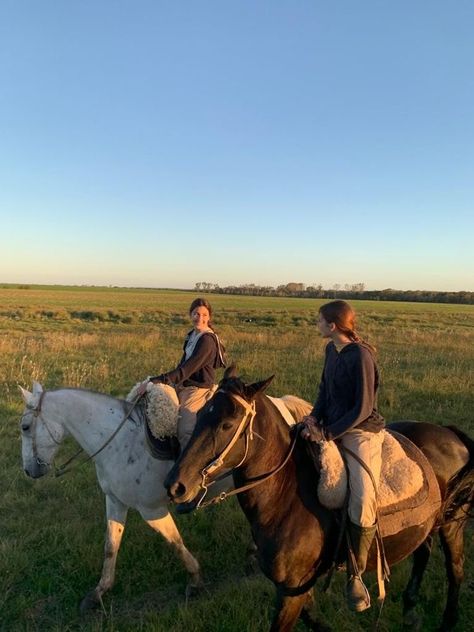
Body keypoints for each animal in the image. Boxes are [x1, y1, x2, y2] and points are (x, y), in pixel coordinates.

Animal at [19, 380, 202, 612]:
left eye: (25, 427)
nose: (28, 471)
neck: (123, 443)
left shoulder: (152, 510)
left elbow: (175, 542)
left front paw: (194, 581)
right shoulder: (115, 501)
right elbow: (111, 545)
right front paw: (98, 593)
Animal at [166, 368, 474, 632]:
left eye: (227, 424)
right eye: (200, 415)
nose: (175, 485)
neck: (286, 496)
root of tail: (450, 433)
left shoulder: (292, 589)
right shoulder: (297, 587)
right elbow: (313, 618)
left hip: (453, 524)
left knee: (455, 569)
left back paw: (447, 621)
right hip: (429, 524)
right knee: (423, 552)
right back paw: (410, 612)